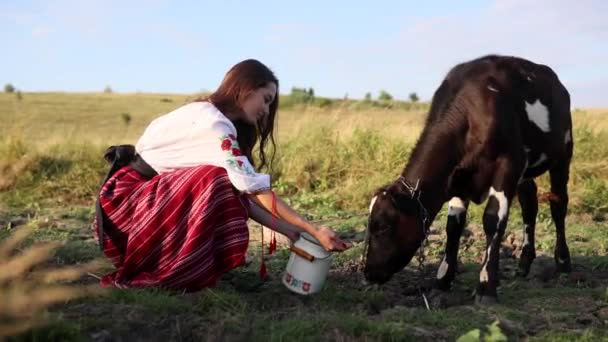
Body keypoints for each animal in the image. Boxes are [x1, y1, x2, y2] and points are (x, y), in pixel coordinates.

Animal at [364, 54, 572, 304]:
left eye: (383, 226)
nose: (368, 272)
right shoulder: (458, 177)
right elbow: (453, 226)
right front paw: (442, 280)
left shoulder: (508, 164)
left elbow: (493, 220)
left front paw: (485, 287)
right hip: (526, 173)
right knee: (529, 205)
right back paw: (523, 265)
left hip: (563, 154)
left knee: (558, 204)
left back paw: (564, 264)